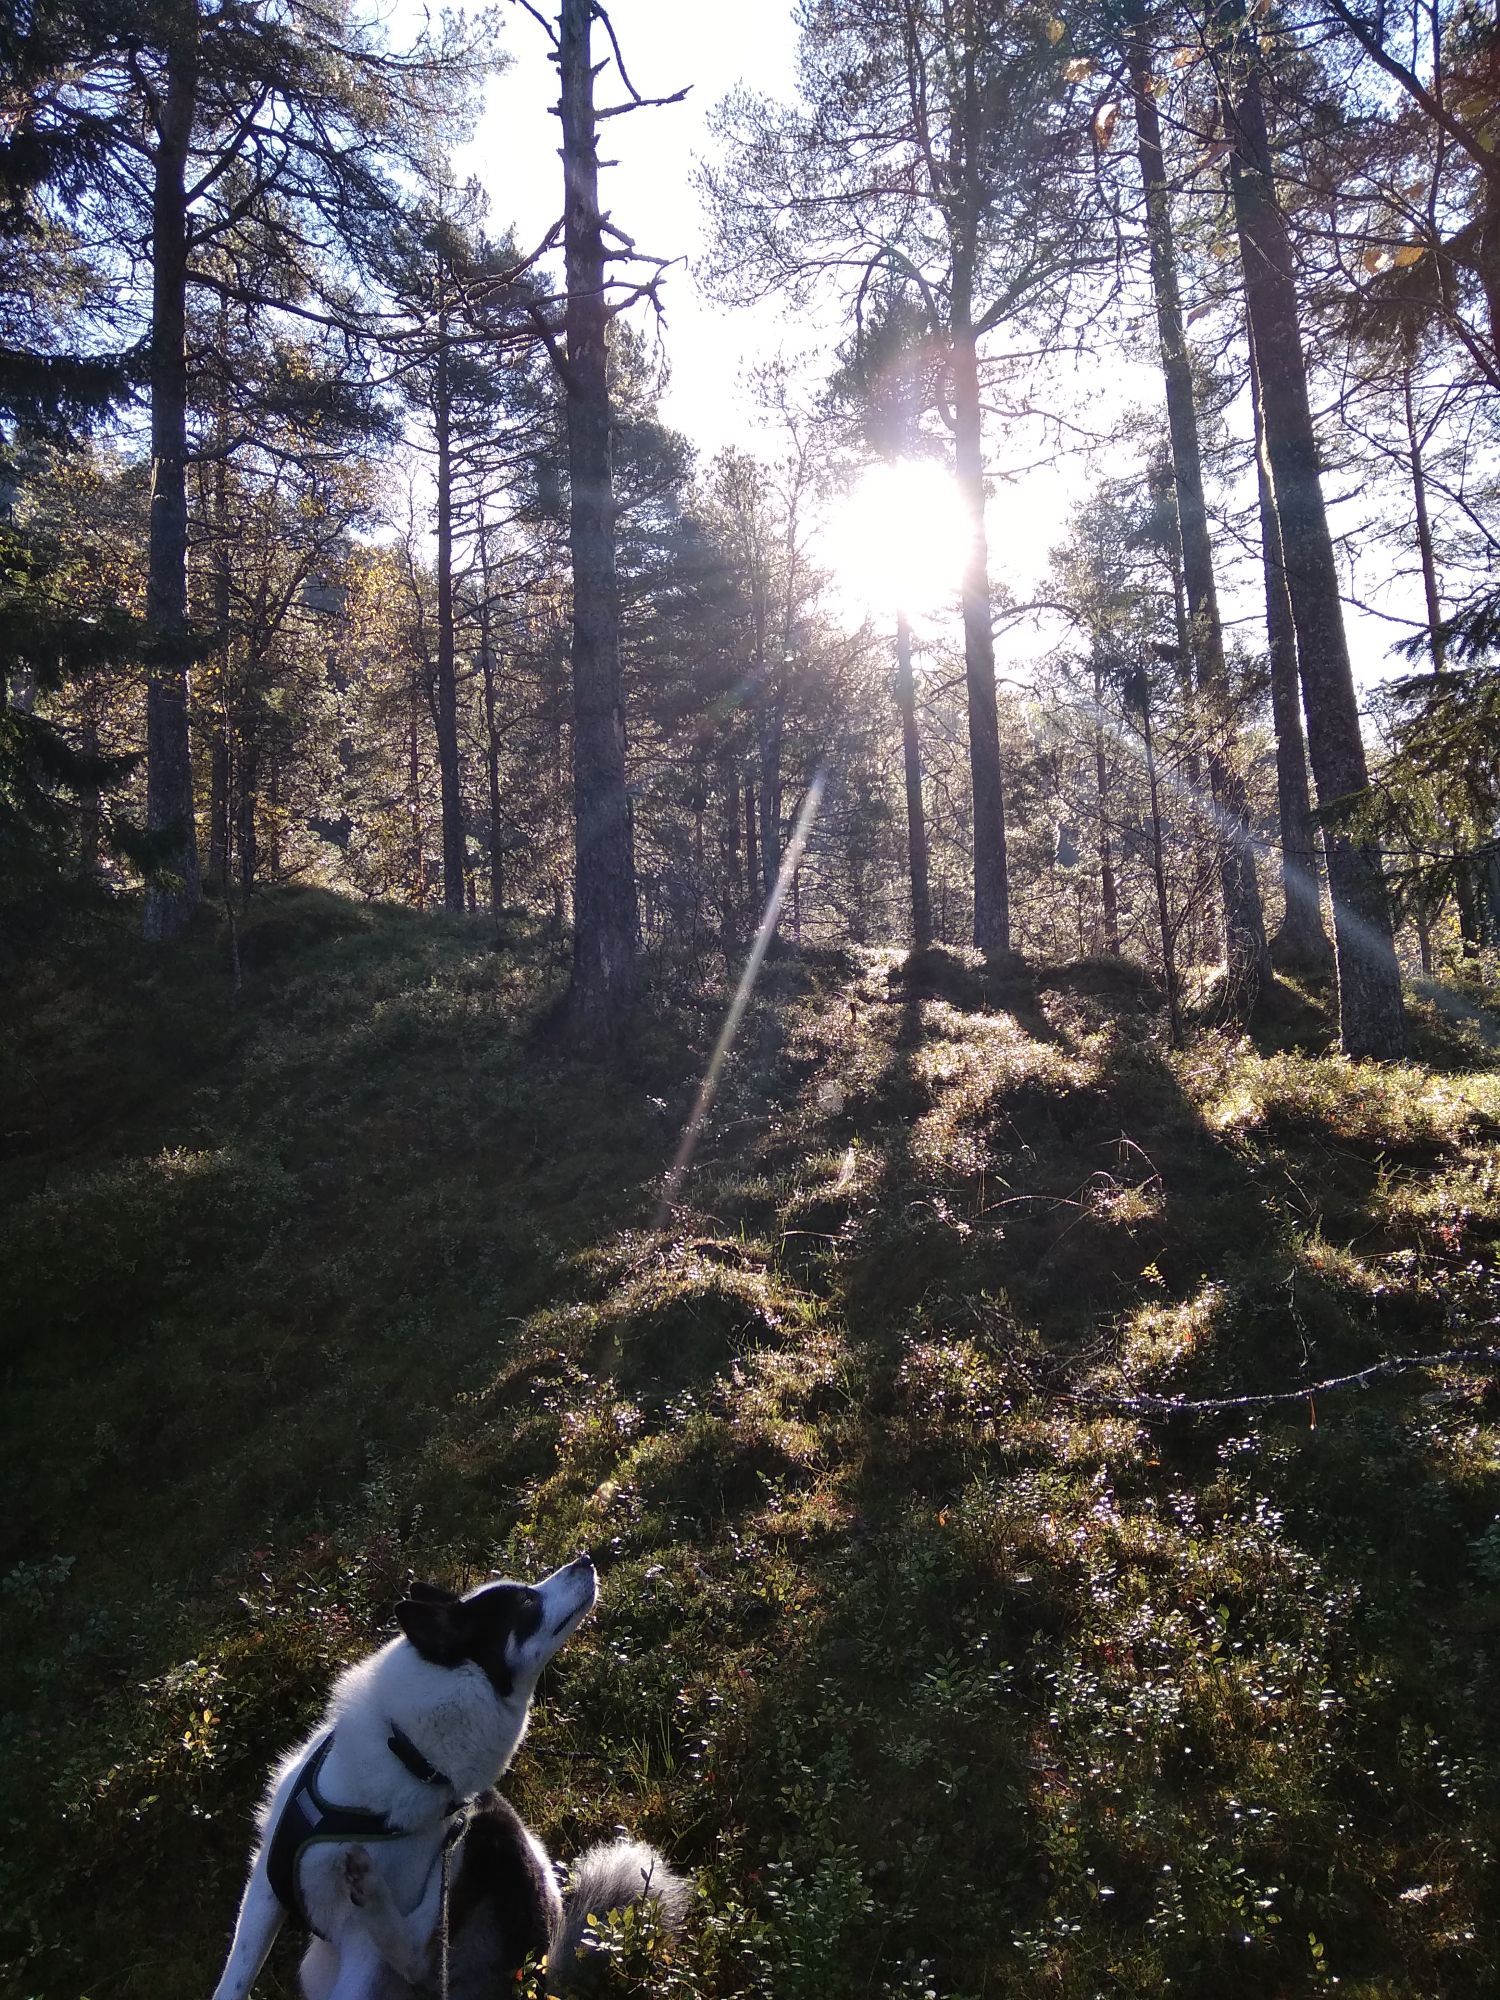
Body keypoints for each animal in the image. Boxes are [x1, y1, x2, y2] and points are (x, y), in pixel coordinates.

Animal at [213, 1560, 692, 2000]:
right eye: (525, 1601)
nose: (586, 1560)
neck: (405, 1752)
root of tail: (546, 1970)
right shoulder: (266, 1885)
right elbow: (233, 1981)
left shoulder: (362, 1947)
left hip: (485, 1830)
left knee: (417, 1953)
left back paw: (370, 1888)